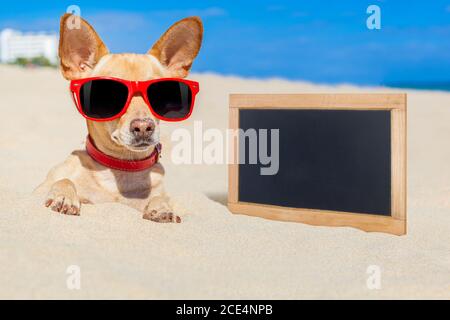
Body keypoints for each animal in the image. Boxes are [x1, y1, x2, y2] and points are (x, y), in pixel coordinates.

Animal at [34, 13, 203, 222]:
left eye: (162, 93)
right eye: (107, 94)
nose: (143, 127)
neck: (121, 167)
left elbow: (160, 198)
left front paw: (161, 207)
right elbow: (63, 180)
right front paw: (64, 196)